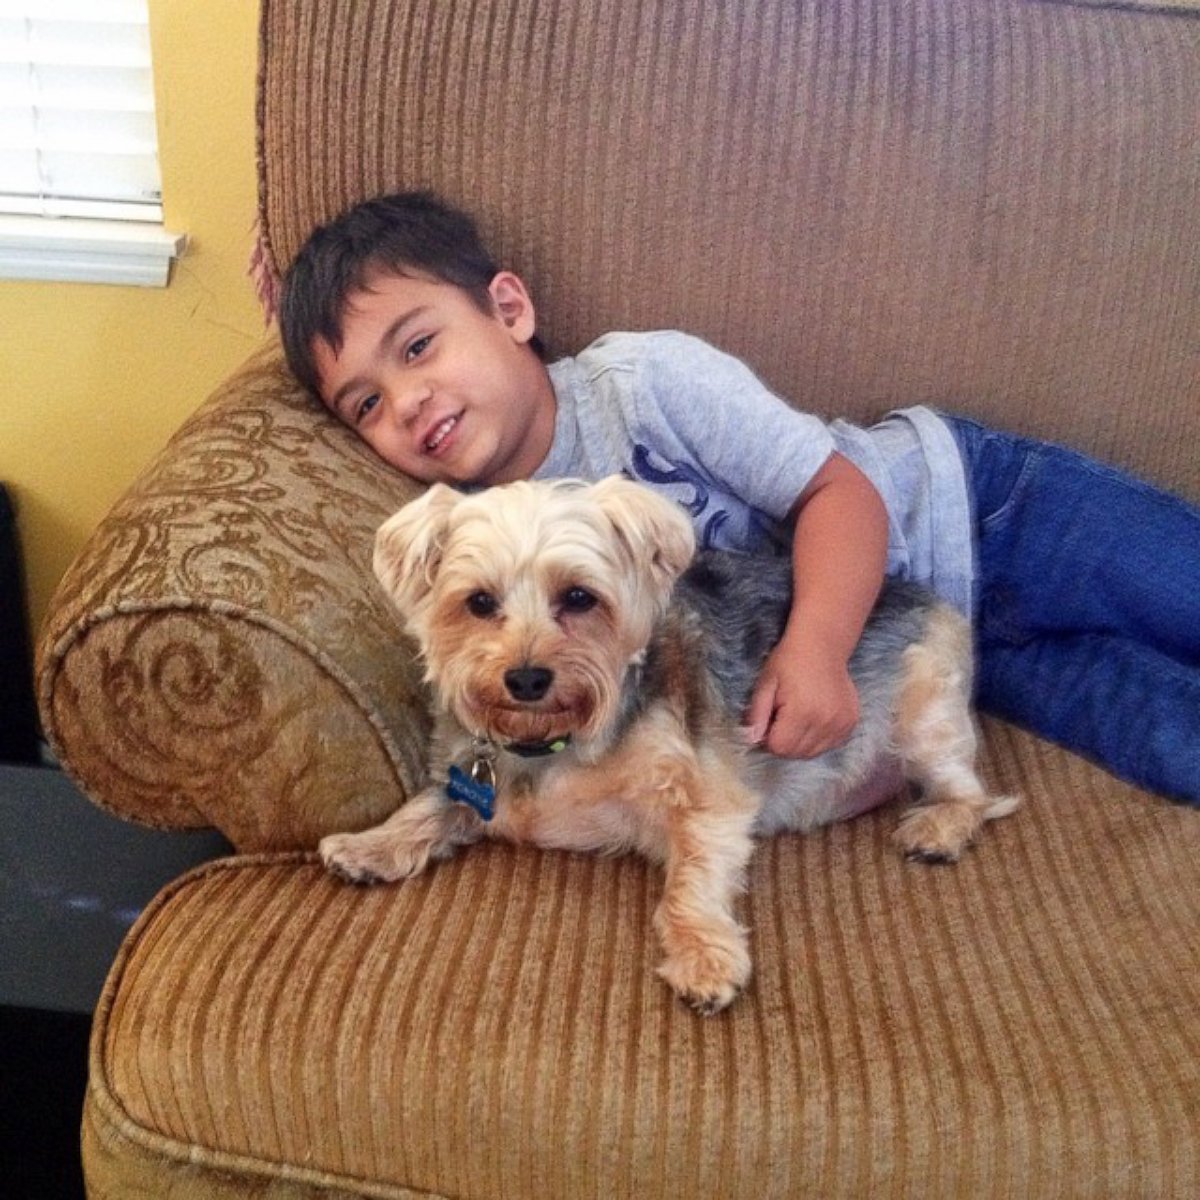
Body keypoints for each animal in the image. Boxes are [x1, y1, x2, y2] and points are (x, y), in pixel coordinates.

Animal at [319, 475, 1012, 1012]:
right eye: (479, 602)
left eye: (579, 597)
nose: (527, 678)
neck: (552, 743)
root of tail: (926, 592)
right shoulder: (470, 776)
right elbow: (428, 807)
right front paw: (368, 845)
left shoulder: (708, 794)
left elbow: (693, 881)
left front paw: (704, 958)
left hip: (925, 712)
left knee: (972, 793)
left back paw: (938, 829)